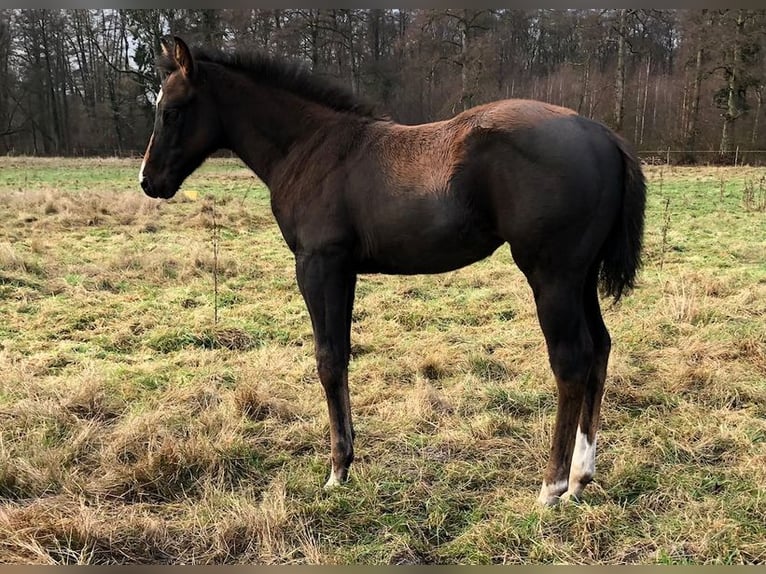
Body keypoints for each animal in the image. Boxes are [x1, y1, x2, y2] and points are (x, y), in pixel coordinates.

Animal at [139, 36, 646, 506]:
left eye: (173, 110)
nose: (148, 181)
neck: (310, 147)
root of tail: (603, 135)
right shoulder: (344, 271)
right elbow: (341, 355)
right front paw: (347, 462)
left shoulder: (318, 265)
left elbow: (328, 359)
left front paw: (336, 471)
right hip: (580, 278)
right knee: (600, 349)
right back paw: (580, 478)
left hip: (552, 276)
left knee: (571, 361)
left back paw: (551, 487)